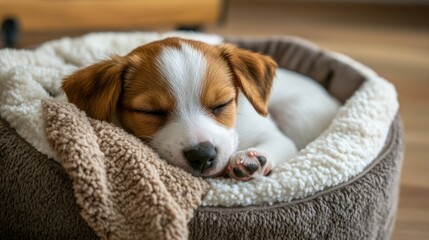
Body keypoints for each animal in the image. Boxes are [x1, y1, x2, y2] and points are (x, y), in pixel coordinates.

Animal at [61, 37, 340, 180]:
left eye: (222, 104)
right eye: (151, 112)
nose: (203, 155)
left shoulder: (273, 134)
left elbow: (275, 143)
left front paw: (253, 158)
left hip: (296, 115)